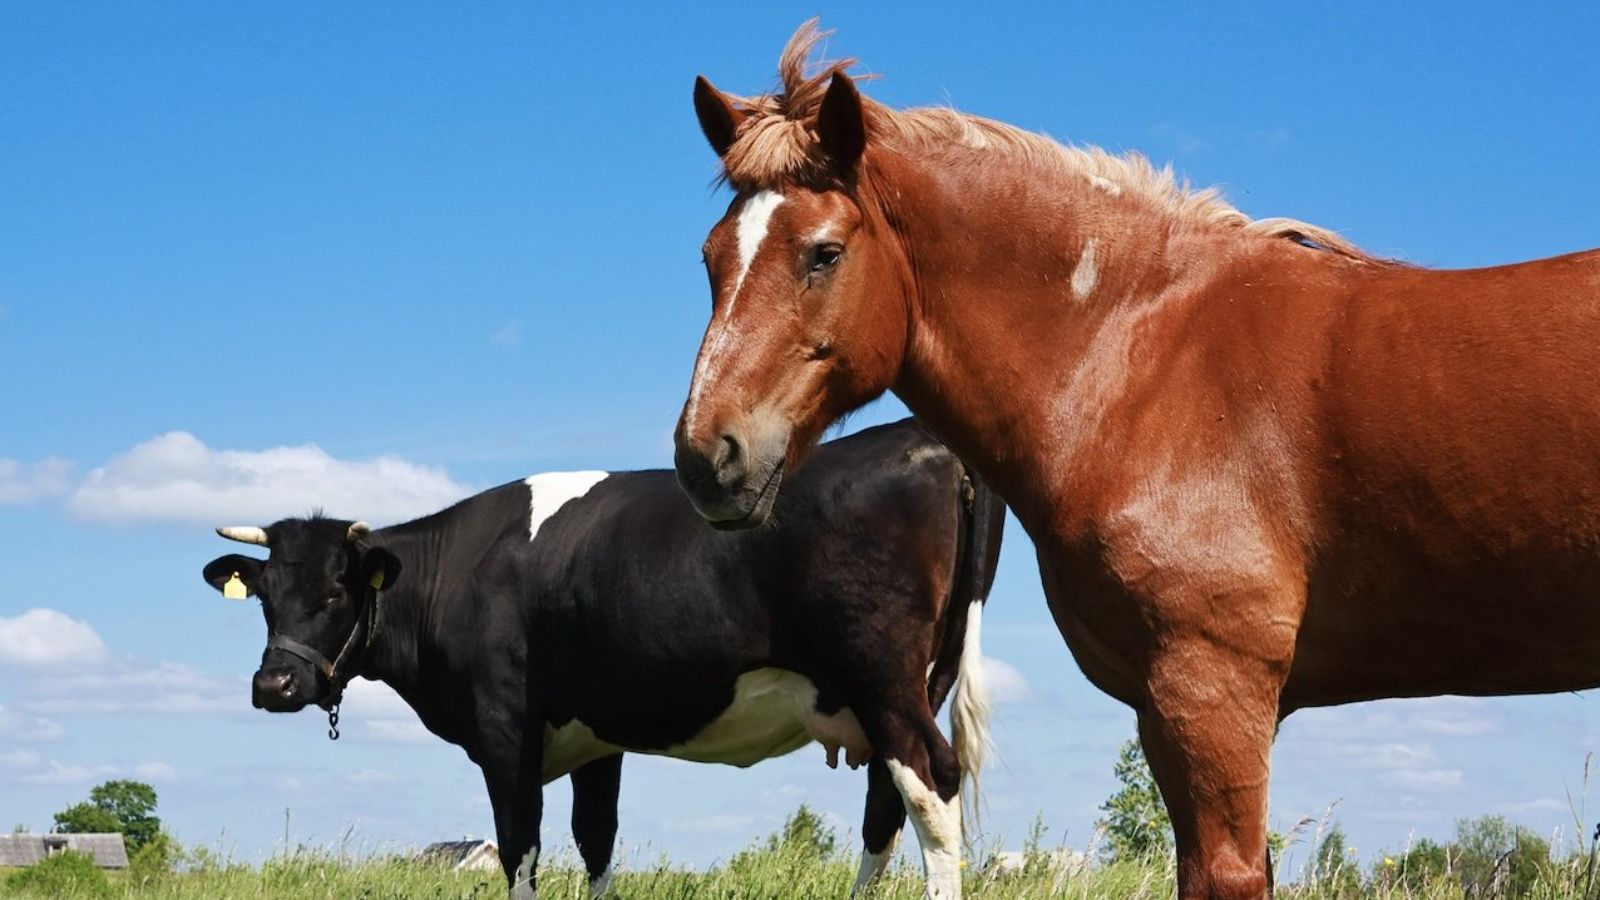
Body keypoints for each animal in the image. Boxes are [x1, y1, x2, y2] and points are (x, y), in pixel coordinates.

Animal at [200, 419, 998, 896]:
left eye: (337, 590)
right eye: (265, 592)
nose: (274, 684)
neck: (455, 569)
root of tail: (929, 440)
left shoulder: (505, 733)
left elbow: (519, 846)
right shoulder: (595, 739)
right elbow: (596, 842)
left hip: (883, 681)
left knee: (930, 787)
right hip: (912, 685)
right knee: (885, 812)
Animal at [672, 19, 1600, 896]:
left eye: (823, 253)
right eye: (711, 257)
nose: (706, 458)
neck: (1147, 357)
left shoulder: (1211, 690)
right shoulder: (1168, 710)